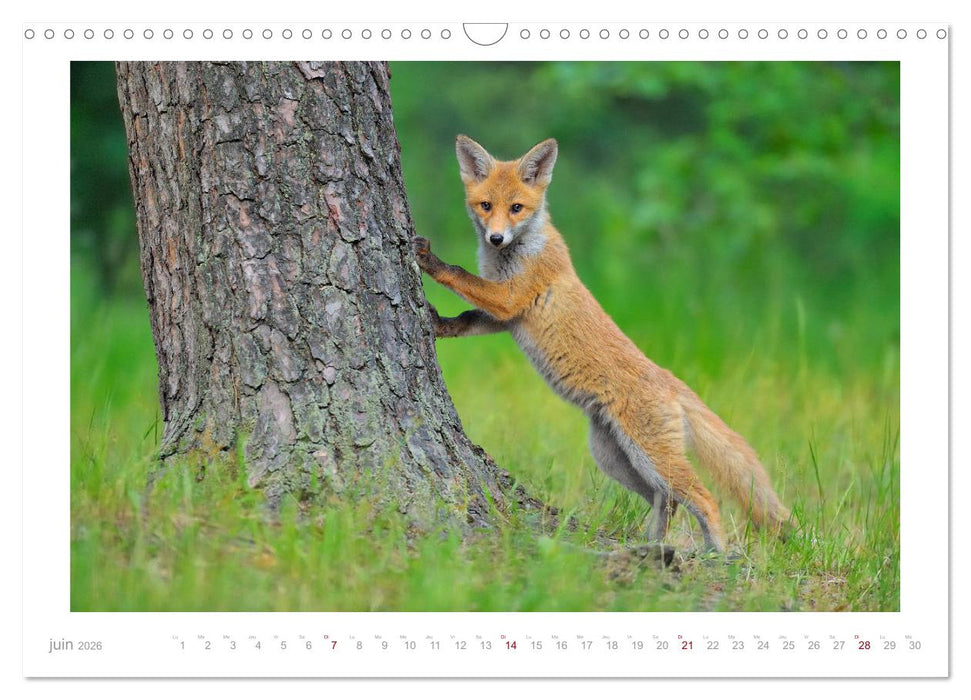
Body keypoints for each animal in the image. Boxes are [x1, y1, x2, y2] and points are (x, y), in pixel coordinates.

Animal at [413, 135, 792, 552]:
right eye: (486, 206)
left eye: (516, 208)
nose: (496, 237)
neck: (510, 257)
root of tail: (669, 379)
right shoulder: (507, 317)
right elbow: (466, 318)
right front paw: (438, 324)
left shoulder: (512, 298)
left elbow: (462, 277)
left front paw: (430, 260)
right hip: (615, 458)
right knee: (668, 499)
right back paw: (653, 546)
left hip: (652, 457)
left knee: (705, 499)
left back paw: (716, 554)